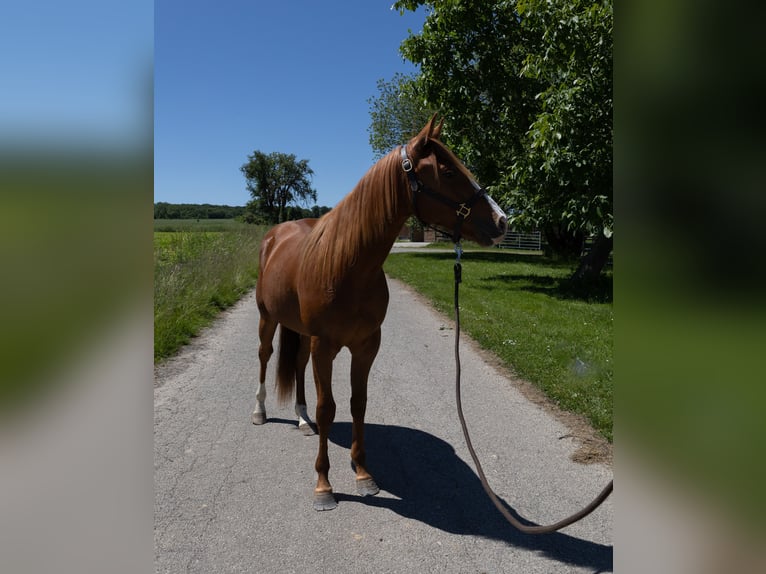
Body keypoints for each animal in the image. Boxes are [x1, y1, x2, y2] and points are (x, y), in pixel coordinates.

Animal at [252, 115, 508, 510]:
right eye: (449, 171)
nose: (501, 221)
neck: (348, 264)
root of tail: (275, 236)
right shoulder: (325, 346)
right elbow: (329, 408)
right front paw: (324, 484)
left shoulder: (366, 345)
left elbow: (358, 404)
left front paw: (362, 473)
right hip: (268, 318)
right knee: (265, 356)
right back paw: (261, 412)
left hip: (302, 333)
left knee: (296, 366)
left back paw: (302, 419)